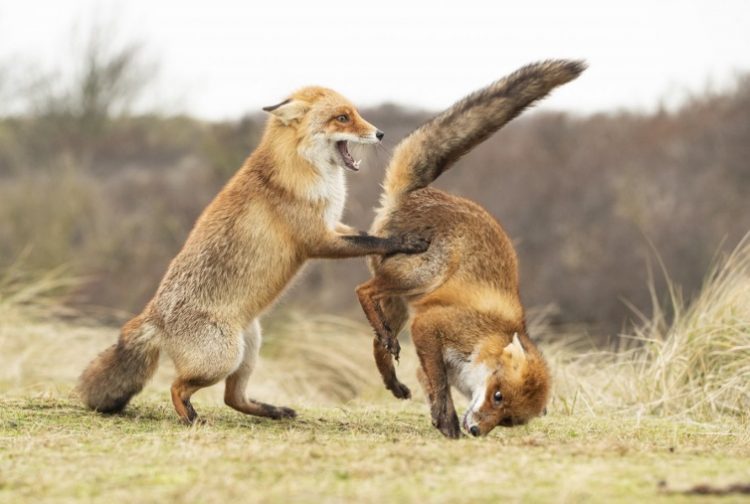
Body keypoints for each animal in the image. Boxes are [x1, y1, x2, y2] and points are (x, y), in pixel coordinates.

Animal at [80, 87, 428, 426]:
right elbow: (370, 240)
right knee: (176, 387)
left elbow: (363, 233)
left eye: (355, 113)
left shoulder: (332, 225)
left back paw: (274, 411)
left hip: (249, 348)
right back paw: (192, 418)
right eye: (342, 118)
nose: (380, 133)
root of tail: (153, 315)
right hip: (222, 359)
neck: (303, 169)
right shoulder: (318, 240)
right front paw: (405, 241)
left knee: (232, 398)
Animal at [358, 59, 588, 438]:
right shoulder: (430, 326)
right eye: (497, 396)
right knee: (363, 291)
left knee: (378, 340)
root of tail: (417, 193)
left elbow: (429, 382)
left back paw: (392, 380)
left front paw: (441, 419)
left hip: (400, 305)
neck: (487, 339)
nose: (477, 431)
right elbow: (439, 384)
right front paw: (449, 421)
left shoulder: (427, 351)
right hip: (420, 276)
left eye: (507, 420)